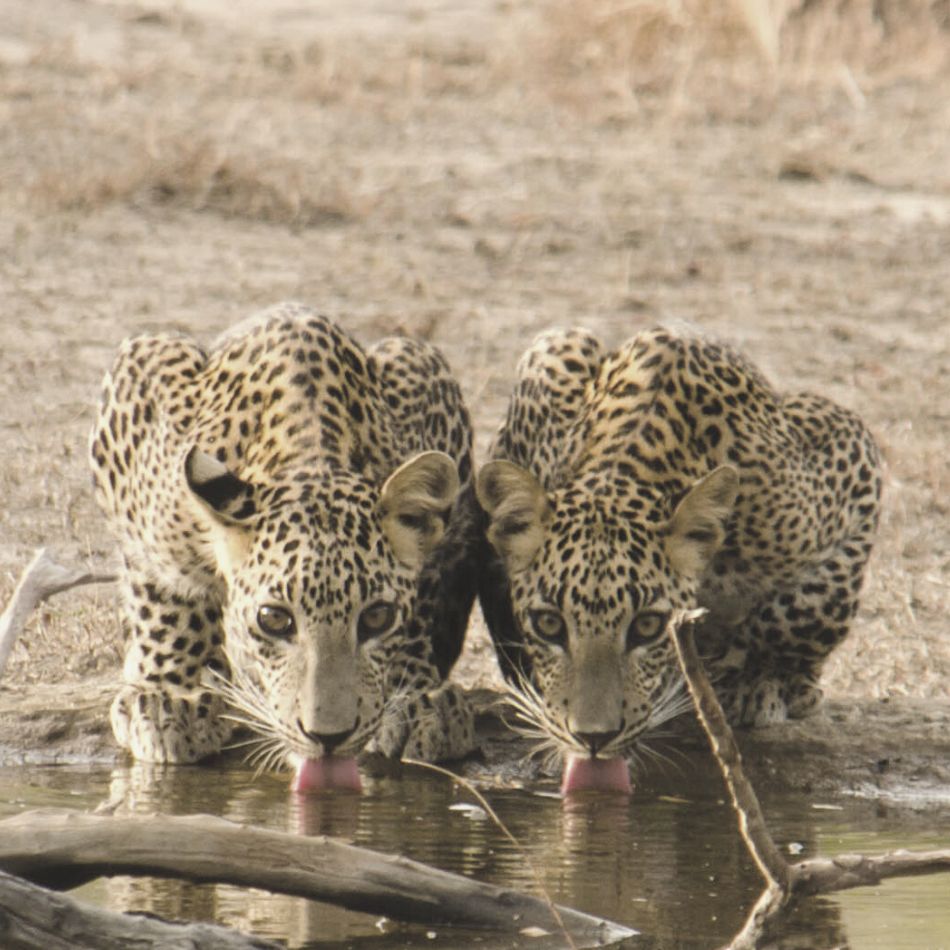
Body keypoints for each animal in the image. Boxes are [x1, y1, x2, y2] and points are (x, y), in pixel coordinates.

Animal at [90, 304, 480, 780]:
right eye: (274, 619)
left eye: (377, 617)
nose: (328, 737)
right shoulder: (139, 383)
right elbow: (164, 586)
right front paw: (171, 696)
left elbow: (425, 590)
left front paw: (420, 695)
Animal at [476, 328, 884, 796]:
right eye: (549, 624)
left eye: (647, 626)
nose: (594, 738)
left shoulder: (849, 452)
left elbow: (809, 608)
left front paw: (762, 680)